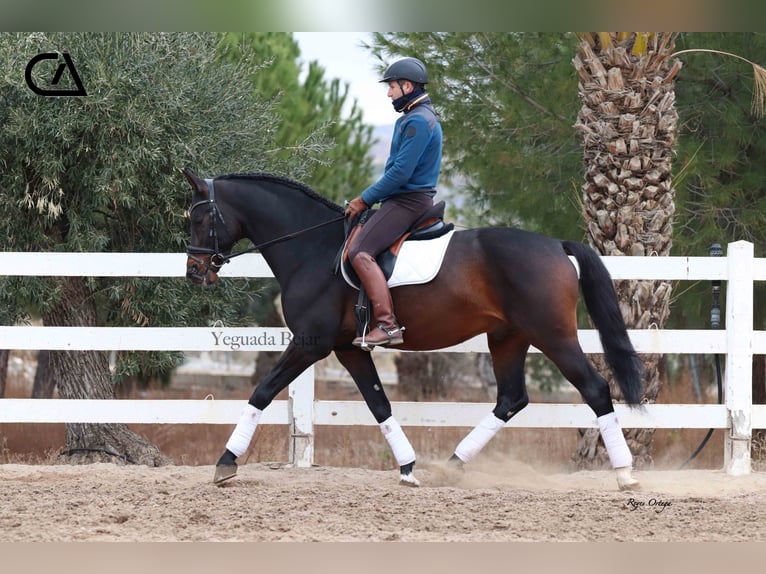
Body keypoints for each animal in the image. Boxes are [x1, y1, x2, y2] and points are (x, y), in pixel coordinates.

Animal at [186, 169, 648, 492]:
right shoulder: (349, 349)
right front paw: (408, 468)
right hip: (507, 338)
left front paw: (226, 463)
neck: (312, 249)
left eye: (201, 218)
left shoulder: (310, 344)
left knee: (596, 390)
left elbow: (262, 392)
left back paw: (625, 476)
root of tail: (555, 244)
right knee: (511, 399)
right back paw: (453, 465)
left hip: (553, 337)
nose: (193, 272)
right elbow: (380, 405)